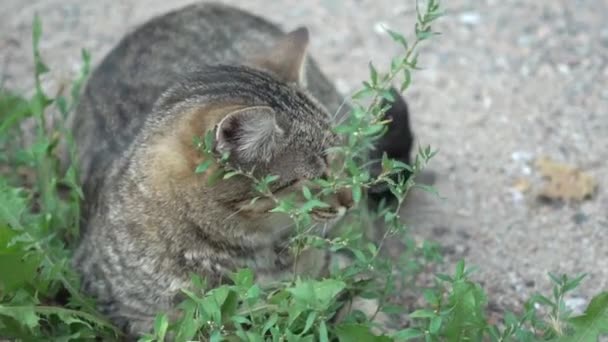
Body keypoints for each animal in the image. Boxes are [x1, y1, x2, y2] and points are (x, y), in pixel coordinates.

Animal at [70, 1, 414, 336]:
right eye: (320, 177)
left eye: (341, 159)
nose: (351, 199)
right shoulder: (139, 315)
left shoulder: (326, 272)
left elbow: (353, 301)